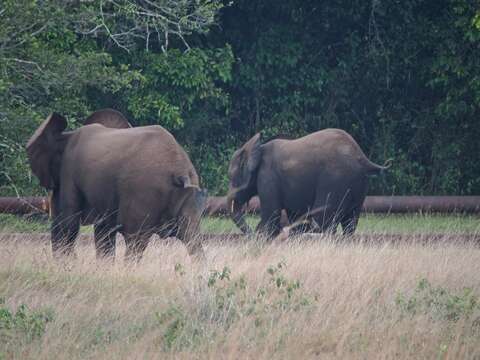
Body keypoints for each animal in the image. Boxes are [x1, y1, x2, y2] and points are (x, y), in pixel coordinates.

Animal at [26, 109, 206, 262]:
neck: (66, 136)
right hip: (188, 194)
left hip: (143, 190)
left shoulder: (68, 172)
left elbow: (68, 222)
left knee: (135, 239)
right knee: (189, 234)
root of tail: (180, 169)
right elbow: (103, 229)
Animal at [227, 129, 392, 239]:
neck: (257, 148)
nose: (251, 233)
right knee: (350, 221)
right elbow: (294, 214)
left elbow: (272, 213)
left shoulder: (267, 177)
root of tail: (363, 158)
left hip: (335, 180)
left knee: (323, 218)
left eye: (231, 177)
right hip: (359, 184)